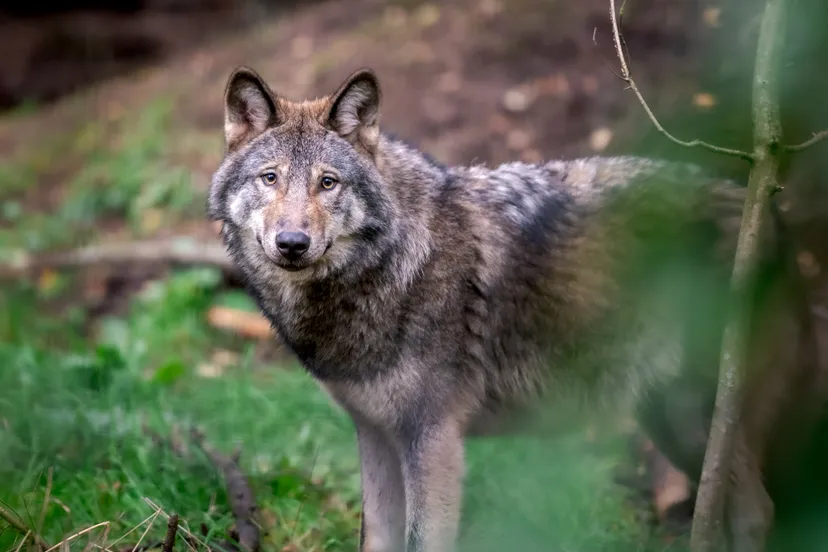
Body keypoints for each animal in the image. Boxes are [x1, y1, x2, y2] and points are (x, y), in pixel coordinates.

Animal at [207, 67, 822, 552]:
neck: (390, 267)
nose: (291, 243)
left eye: (328, 183)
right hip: (675, 423)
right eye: (270, 179)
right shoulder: (376, 434)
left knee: (755, 514)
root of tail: (771, 219)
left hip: (699, 419)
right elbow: (377, 540)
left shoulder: (434, 440)